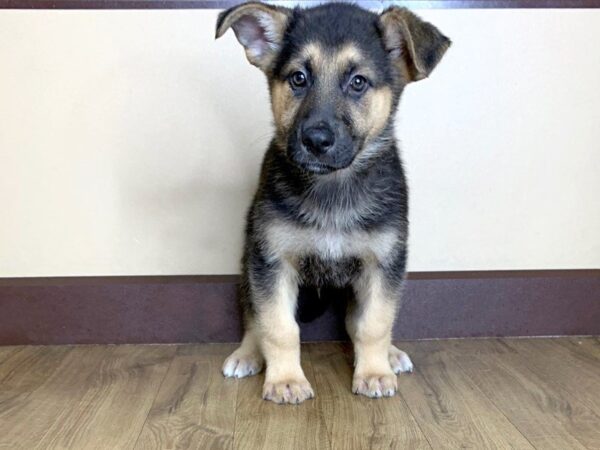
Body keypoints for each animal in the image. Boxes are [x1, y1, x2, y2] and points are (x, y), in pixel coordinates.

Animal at [217, 0, 450, 404]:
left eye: (358, 82)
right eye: (298, 78)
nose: (316, 140)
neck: (332, 187)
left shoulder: (383, 264)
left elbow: (374, 323)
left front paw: (373, 373)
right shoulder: (272, 263)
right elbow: (277, 326)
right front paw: (285, 380)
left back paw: (390, 355)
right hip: (249, 263)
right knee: (252, 317)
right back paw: (247, 353)